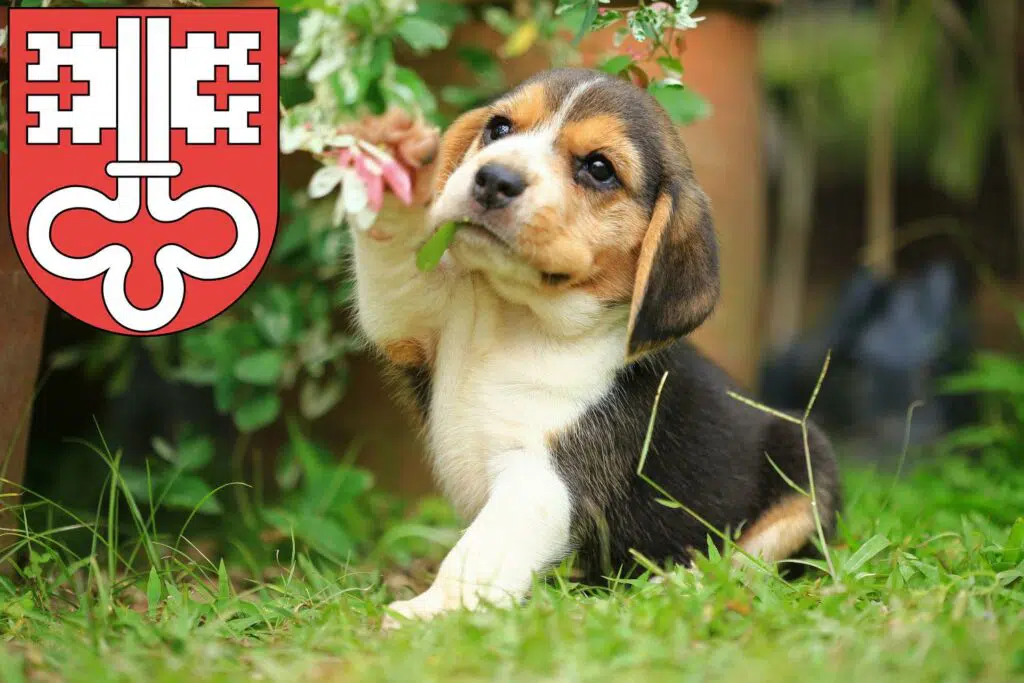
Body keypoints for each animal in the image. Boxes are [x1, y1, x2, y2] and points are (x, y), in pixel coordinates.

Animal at [352, 68, 839, 626]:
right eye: (499, 128)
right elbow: (397, 274)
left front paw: (430, 611)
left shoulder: (545, 481)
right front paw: (394, 161)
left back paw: (676, 586)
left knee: (747, 563)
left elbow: (480, 550)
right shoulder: (416, 320)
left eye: (600, 169)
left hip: (808, 470)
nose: (495, 178)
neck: (522, 319)